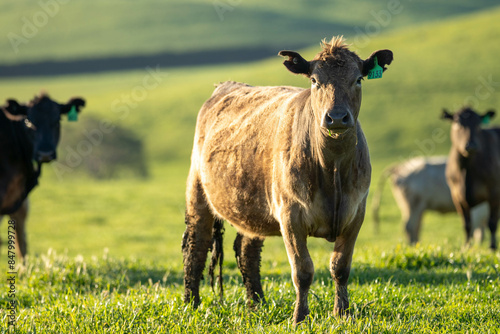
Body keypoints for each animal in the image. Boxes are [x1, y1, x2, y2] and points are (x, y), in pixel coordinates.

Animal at [182, 37, 392, 324]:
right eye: (314, 80)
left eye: (358, 79)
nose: (337, 117)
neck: (333, 168)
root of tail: (226, 85)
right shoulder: (290, 215)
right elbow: (302, 271)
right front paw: (300, 317)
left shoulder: (356, 213)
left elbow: (340, 267)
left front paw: (342, 313)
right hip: (198, 191)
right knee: (196, 246)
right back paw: (191, 305)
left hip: (252, 204)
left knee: (247, 251)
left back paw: (257, 304)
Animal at [444, 105, 498, 249]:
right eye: (457, 122)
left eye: (479, 124)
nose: (471, 145)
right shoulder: (457, 196)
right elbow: (467, 225)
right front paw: (466, 246)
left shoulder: (494, 193)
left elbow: (492, 223)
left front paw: (492, 247)